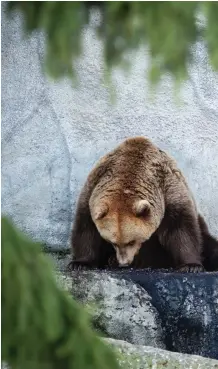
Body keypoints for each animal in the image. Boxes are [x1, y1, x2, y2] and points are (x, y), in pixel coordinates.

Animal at [68, 135, 218, 270]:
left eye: (131, 241)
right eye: (113, 242)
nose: (124, 263)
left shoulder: (169, 193)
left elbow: (181, 229)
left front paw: (191, 266)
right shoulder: (92, 191)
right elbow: (86, 229)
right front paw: (79, 263)